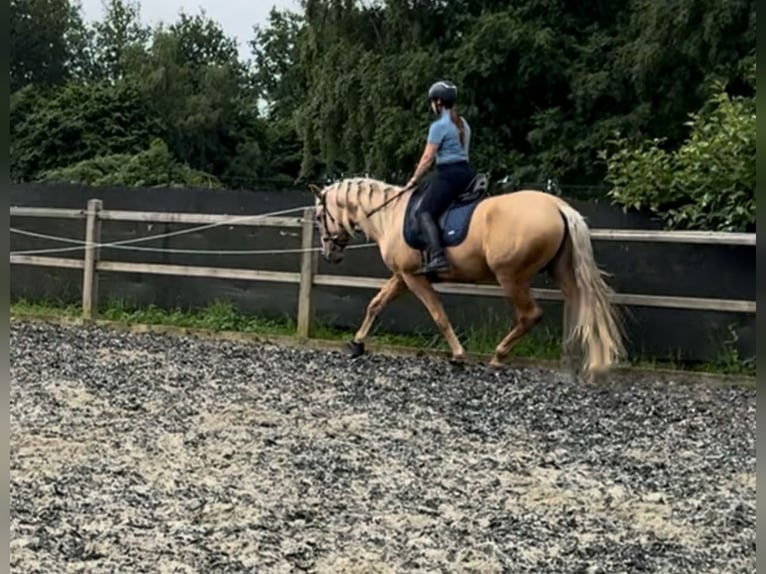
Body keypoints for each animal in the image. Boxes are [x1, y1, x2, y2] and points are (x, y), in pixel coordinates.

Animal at [308, 176, 628, 382]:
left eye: (320, 216)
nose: (330, 253)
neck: (389, 215)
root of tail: (559, 206)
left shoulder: (414, 278)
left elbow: (438, 314)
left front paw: (459, 355)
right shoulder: (401, 276)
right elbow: (375, 304)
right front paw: (356, 343)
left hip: (510, 276)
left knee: (530, 315)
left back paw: (498, 357)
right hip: (560, 270)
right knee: (581, 305)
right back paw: (579, 362)